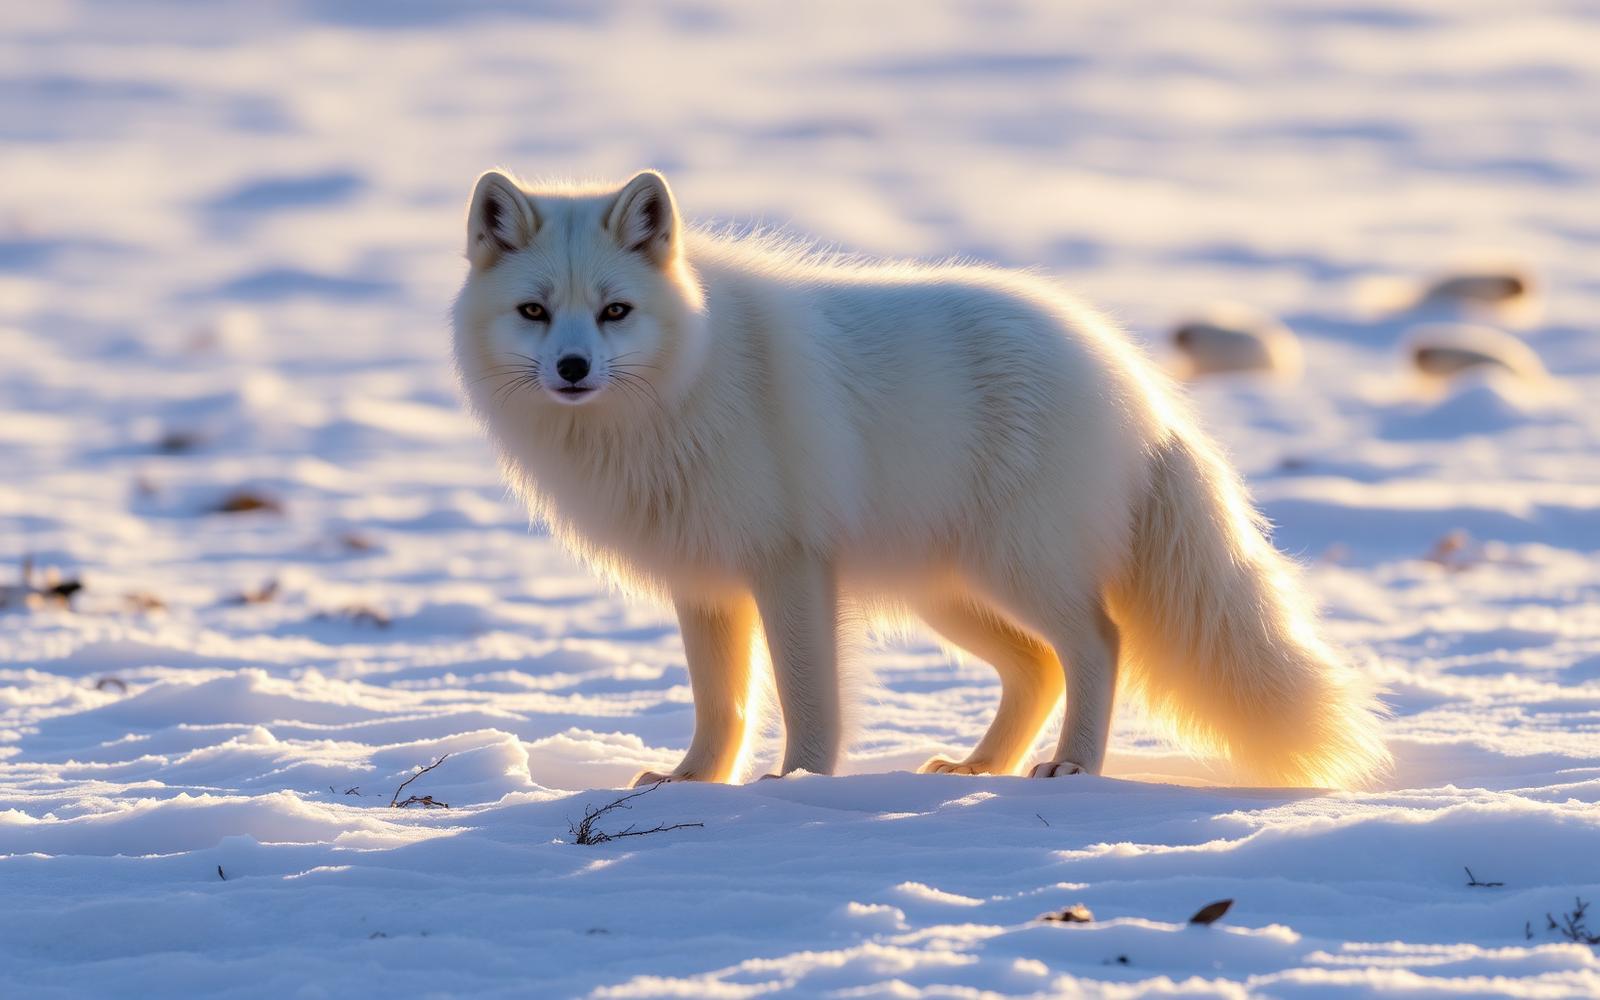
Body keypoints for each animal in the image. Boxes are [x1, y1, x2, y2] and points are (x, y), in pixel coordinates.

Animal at [451, 169, 1391, 789]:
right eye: (534, 311)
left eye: (615, 311)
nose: (573, 368)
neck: (693, 376)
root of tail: (1138, 386)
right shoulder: (706, 584)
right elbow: (721, 707)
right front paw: (693, 784)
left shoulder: (790, 566)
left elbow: (808, 699)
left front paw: (798, 787)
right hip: (950, 592)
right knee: (1038, 669)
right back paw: (979, 766)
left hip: (1018, 570)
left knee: (1098, 645)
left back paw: (1072, 766)